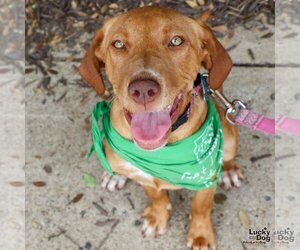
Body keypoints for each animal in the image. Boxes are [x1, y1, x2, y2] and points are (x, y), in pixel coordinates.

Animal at [80, 6, 244, 250]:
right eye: (118, 44)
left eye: (176, 40)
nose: (143, 90)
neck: (161, 152)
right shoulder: (143, 176)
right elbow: (155, 196)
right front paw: (158, 216)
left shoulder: (206, 179)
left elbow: (200, 206)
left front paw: (201, 234)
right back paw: (114, 175)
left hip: (231, 136)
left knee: (228, 154)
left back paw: (229, 170)